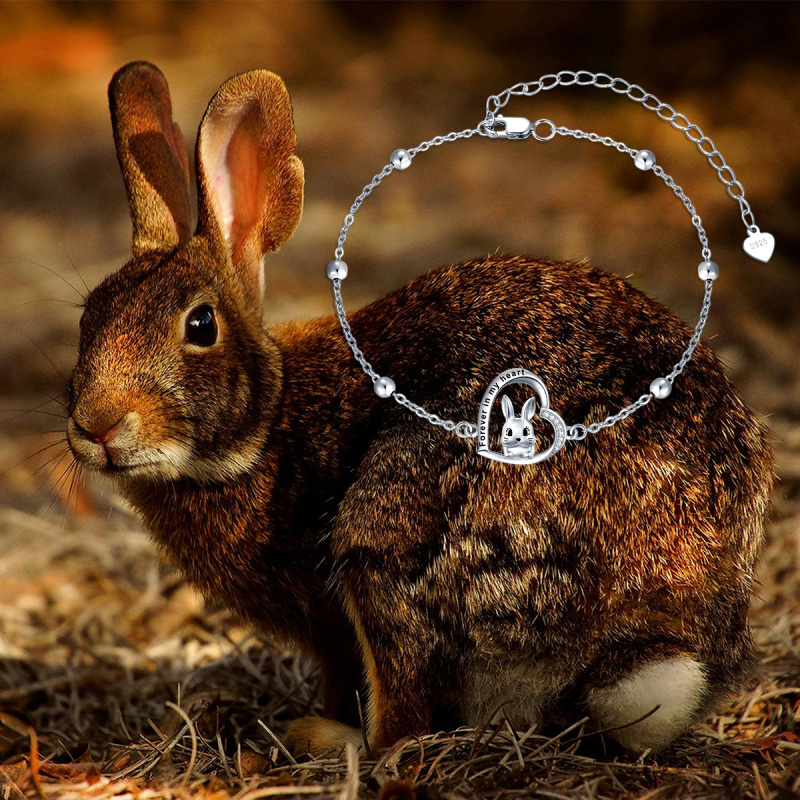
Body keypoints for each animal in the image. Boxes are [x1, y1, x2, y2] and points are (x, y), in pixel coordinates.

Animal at [65, 61, 774, 757]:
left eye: (201, 324)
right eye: (88, 316)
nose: (96, 425)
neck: (266, 425)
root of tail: (650, 612)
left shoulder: (332, 625)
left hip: (384, 533)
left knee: (403, 722)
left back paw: (324, 737)